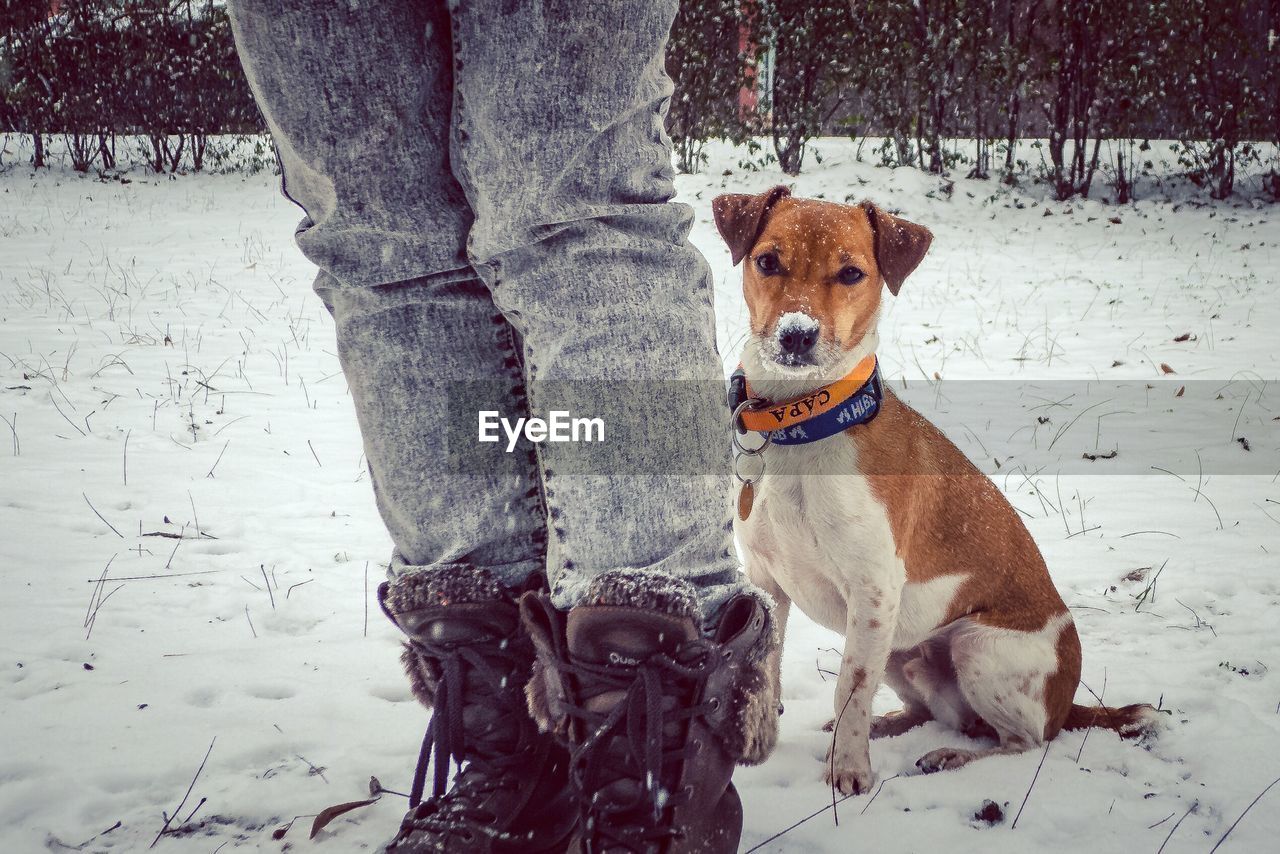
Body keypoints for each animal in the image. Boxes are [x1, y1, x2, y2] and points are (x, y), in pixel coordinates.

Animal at [716, 185, 1157, 793]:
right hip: (902, 649)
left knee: (1022, 742)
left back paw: (951, 757)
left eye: (850, 273)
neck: (803, 424)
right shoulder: (768, 583)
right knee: (930, 712)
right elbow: (771, 674)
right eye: (767, 262)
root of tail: (1068, 704)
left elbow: (849, 686)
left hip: (976, 645)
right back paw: (891, 724)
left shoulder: (873, 591)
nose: (797, 334)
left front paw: (849, 771)